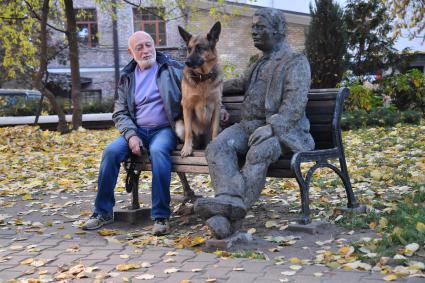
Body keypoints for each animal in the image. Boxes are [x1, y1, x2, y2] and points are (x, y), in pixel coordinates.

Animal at [175, 22, 222, 159]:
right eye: (189, 49)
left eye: (200, 48)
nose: (186, 62)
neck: (203, 78)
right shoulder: (187, 106)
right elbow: (189, 132)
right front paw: (187, 148)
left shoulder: (217, 106)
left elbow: (215, 130)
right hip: (179, 125)